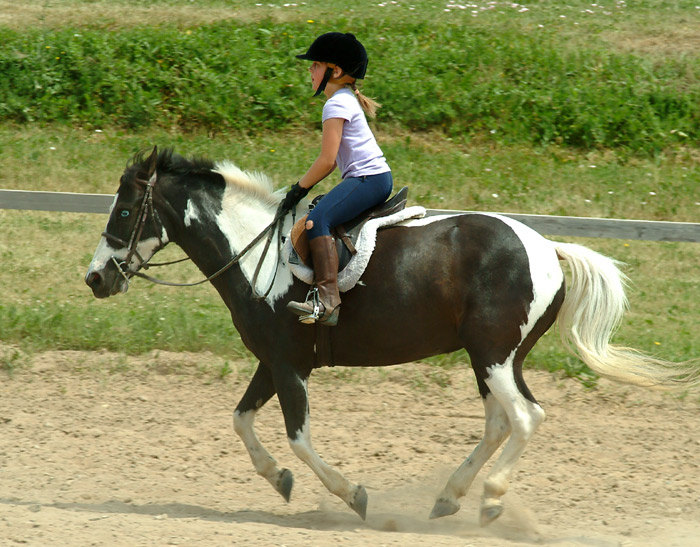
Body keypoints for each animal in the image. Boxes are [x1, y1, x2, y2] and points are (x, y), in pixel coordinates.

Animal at [85, 148, 696, 524]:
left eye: (124, 211)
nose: (94, 278)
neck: (257, 253)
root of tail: (547, 248)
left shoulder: (288, 367)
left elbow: (298, 438)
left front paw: (352, 494)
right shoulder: (274, 362)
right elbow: (241, 421)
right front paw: (279, 480)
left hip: (494, 356)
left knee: (525, 418)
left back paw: (491, 501)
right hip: (494, 358)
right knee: (500, 422)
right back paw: (449, 497)